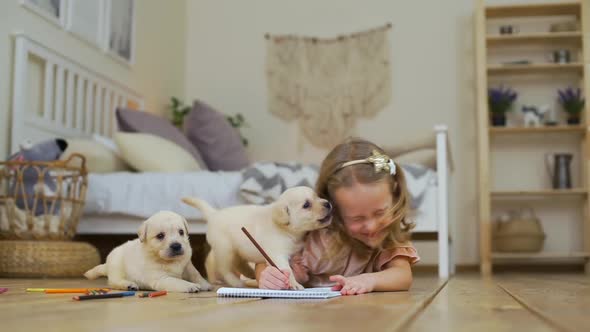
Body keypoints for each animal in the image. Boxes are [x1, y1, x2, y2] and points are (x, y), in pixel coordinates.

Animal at [83, 210, 213, 294]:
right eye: (160, 236)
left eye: (181, 232)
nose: (176, 246)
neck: (169, 261)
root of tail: (107, 265)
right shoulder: (161, 278)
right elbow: (176, 281)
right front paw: (189, 285)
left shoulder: (187, 265)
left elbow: (195, 274)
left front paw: (205, 284)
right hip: (117, 267)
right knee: (113, 281)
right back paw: (128, 285)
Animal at [183, 185, 336, 290]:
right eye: (306, 205)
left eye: (317, 196)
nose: (327, 203)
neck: (287, 230)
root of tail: (214, 214)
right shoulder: (277, 255)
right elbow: (287, 270)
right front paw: (294, 284)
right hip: (226, 250)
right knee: (225, 268)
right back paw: (236, 282)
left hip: (237, 250)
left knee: (239, 263)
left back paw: (250, 273)